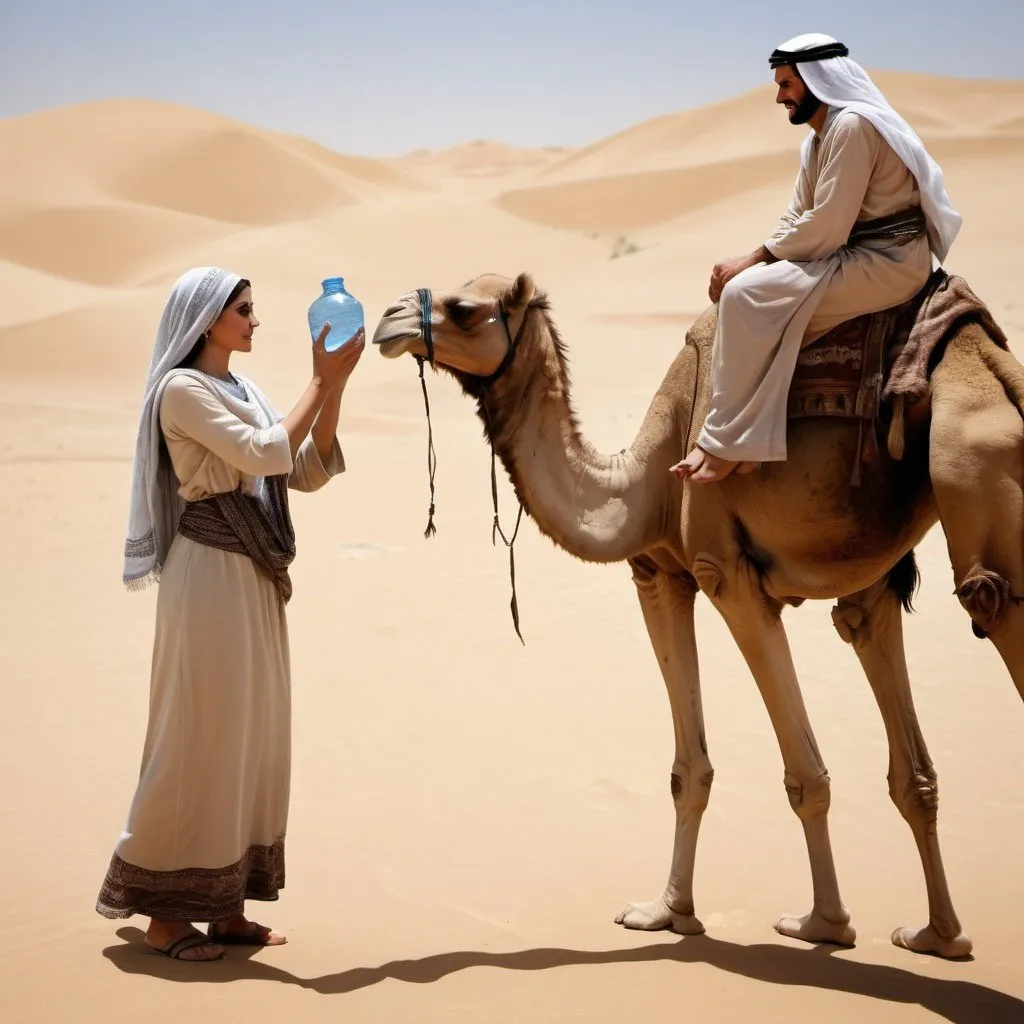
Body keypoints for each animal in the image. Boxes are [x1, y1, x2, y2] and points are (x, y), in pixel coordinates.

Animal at [370, 272, 1024, 958]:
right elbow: (706, 770)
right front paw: (668, 912)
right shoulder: (669, 574)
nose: (387, 321)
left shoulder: (723, 573)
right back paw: (936, 937)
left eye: (464, 310)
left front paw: (825, 923)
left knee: (990, 600)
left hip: (972, 466)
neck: (649, 485)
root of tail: (997, 367)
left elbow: (805, 776)